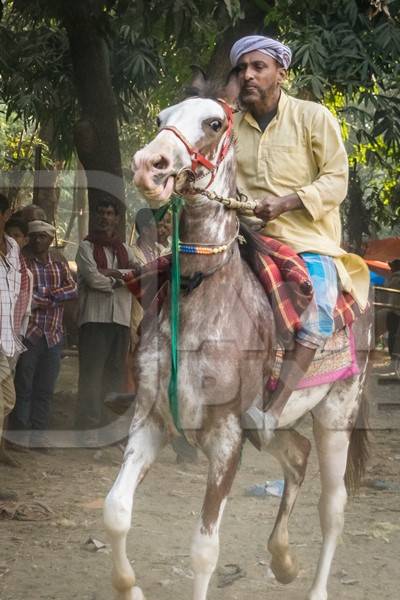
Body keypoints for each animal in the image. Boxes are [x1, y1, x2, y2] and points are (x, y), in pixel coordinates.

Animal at [104, 85, 372, 600]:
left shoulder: (227, 438)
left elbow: (204, 550)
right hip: (272, 426)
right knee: (296, 456)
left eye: (213, 123)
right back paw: (283, 560)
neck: (201, 293)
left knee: (334, 507)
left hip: (337, 412)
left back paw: (314, 584)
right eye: (163, 117)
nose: (150, 165)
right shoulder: (151, 418)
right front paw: (130, 588)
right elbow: (116, 511)